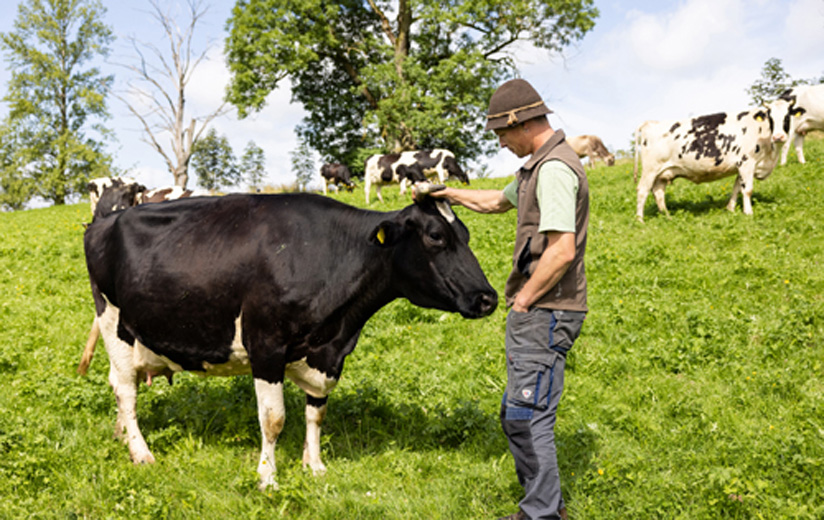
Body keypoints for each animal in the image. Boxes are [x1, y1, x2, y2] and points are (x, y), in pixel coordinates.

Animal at [80, 190, 496, 488]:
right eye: (436, 236)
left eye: (466, 234)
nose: (487, 298)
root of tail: (103, 220)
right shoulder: (266, 346)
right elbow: (274, 419)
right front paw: (268, 477)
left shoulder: (328, 354)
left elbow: (317, 413)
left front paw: (315, 466)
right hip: (115, 322)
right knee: (125, 389)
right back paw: (141, 452)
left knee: (121, 387)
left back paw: (121, 436)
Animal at [636, 109, 784, 221]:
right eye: (771, 118)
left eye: (787, 115)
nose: (779, 136)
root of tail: (650, 123)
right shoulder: (746, 163)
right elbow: (747, 190)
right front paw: (748, 213)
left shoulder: (741, 166)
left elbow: (737, 188)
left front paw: (730, 209)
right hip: (650, 170)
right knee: (642, 190)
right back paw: (640, 220)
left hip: (662, 173)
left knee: (658, 192)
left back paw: (667, 217)